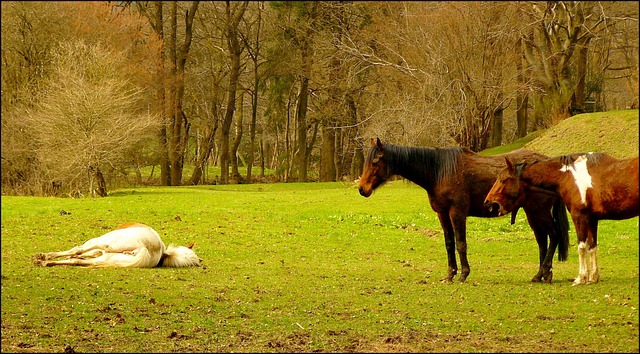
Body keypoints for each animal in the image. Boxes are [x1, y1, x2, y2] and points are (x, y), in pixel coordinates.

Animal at [33, 223, 202, 266]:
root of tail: (145, 249)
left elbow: (78, 251)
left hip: (103, 242)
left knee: (78, 251)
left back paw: (44, 258)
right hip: (106, 258)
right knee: (77, 260)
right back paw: (45, 262)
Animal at [360, 137, 568, 284]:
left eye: (375, 162)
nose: (362, 189)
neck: (439, 171)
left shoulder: (456, 212)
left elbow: (461, 243)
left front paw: (463, 274)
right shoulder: (442, 214)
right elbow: (449, 244)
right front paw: (450, 274)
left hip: (539, 212)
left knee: (554, 236)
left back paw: (545, 272)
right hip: (533, 214)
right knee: (542, 241)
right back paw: (540, 274)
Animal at [488, 152, 636, 284]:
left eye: (503, 180)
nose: (489, 202)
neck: (568, 177)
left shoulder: (579, 216)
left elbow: (582, 246)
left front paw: (581, 278)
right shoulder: (592, 219)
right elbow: (592, 247)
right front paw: (593, 277)